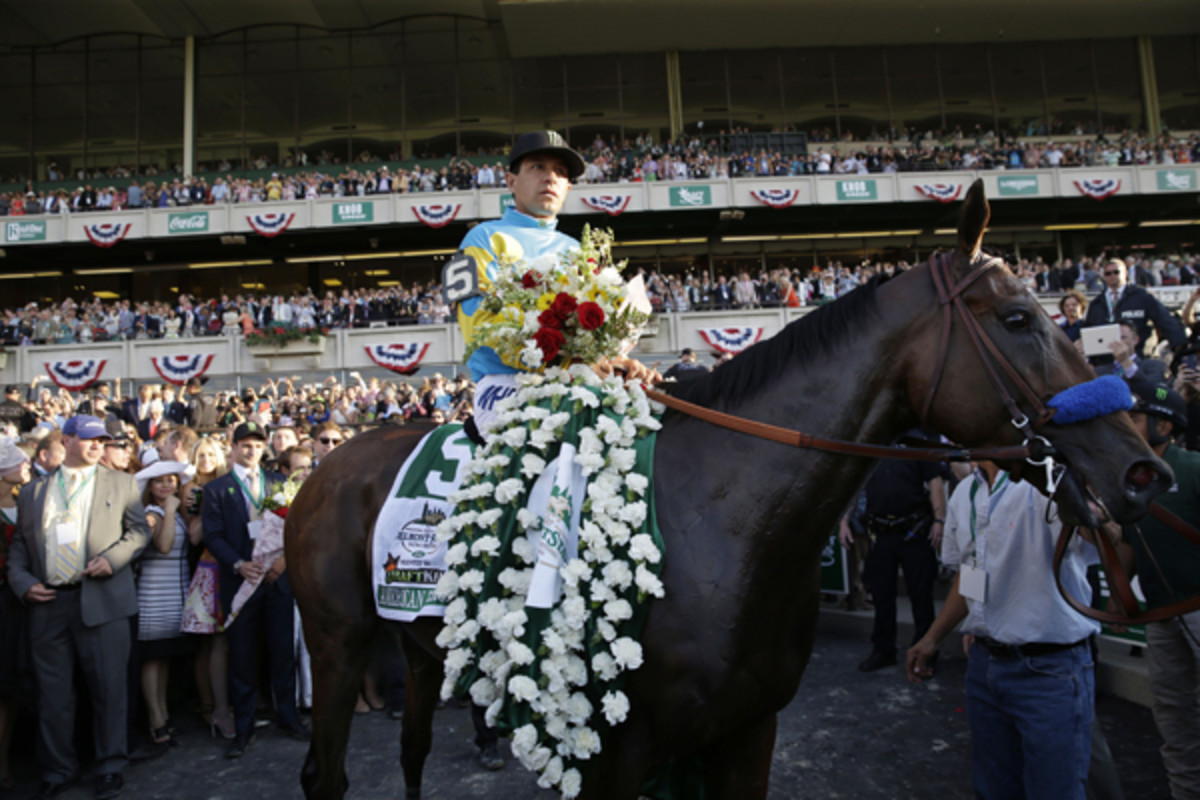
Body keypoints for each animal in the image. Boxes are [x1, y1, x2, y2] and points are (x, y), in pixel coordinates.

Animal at [290, 183, 1171, 800]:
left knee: (409, 756)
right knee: (326, 773)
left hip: (415, 647)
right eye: (1019, 318)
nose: (1142, 472)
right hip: (336, 646)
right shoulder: (618, 751)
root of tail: (321, 471)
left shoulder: (749, 731)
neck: (728, 526)